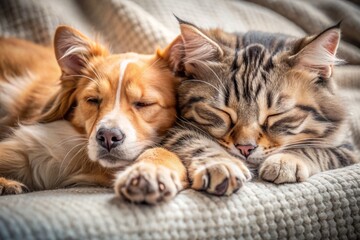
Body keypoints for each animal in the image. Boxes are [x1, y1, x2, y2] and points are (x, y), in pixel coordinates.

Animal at [0, 25, 186, 202]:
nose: (108, 137)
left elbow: (162, 151)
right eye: (93, 100)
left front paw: (149, 171)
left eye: (143, 103)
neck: (93, 165)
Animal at [158, 20, 360, 197]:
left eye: (276, 114)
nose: (245, 148)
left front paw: (285, 161)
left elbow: (316, 150)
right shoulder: (177, 127)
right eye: (223, 112)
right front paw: (221, 164)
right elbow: (197, 143)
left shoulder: (348, 148)